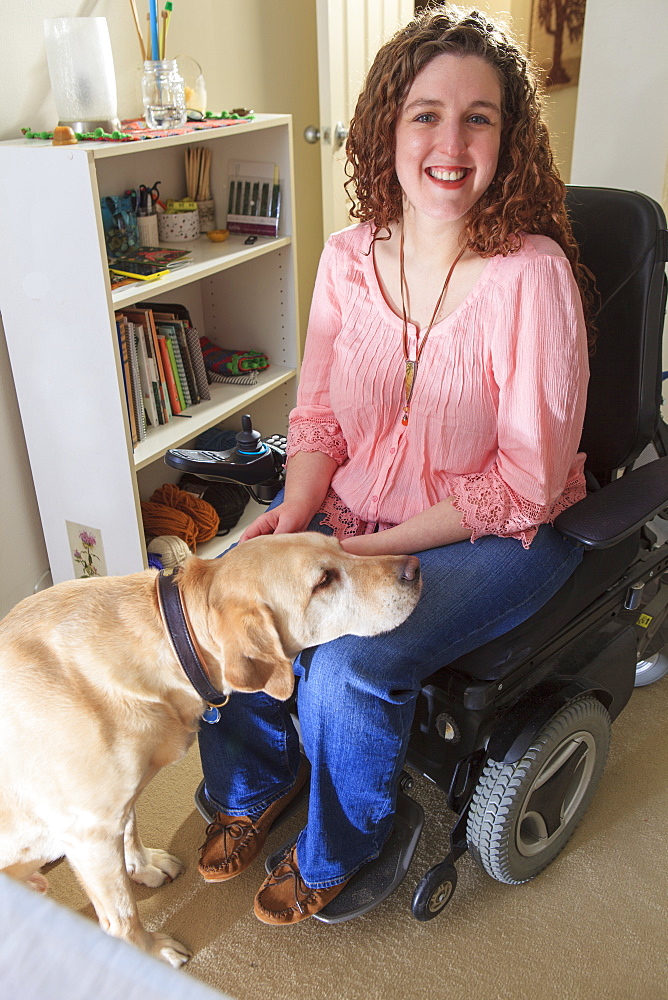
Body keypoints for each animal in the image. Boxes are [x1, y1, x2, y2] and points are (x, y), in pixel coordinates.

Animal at [0, 536, 420, 964]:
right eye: (323, 581)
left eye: (342, 545)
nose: (414, 568)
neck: (170, 639)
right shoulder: (90, 830)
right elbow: (122, 915)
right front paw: (149, 951)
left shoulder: (112, 812)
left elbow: (130, 828)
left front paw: (143, 867)